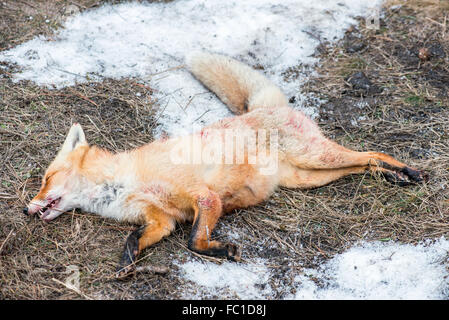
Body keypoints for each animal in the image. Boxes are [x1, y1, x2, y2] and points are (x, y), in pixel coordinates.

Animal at [22, 52, 426, 278]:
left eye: (46, 179)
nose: (26, 209)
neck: (122, 185)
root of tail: (264, 107)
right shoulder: (162, 220)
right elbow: (136, 236)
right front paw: (127, 261)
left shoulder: (205, 198)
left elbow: (193, 242)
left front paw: (221, 251)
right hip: (308, 177)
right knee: (359, 165)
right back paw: (389, 176)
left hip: (314, 156)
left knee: (369, 152)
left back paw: (405, 171)